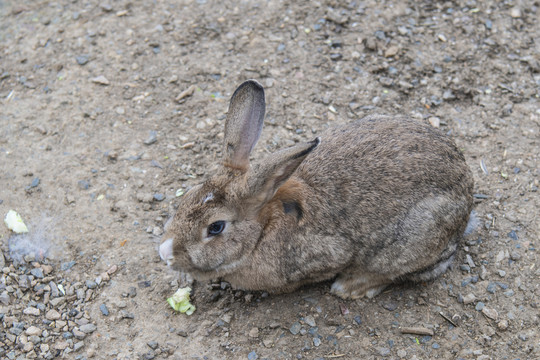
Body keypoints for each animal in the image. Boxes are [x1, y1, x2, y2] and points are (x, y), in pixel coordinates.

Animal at [159, 81, 472, 298]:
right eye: (187, 196)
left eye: (216, 228)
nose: (164, 252)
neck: (263, 229)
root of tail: (466, 184)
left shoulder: (329, 254)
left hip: (417, 236)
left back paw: (350, 287)